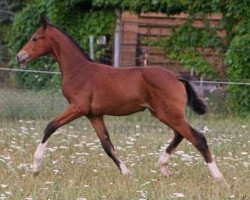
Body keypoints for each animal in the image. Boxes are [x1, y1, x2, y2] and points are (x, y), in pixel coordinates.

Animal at [17, 16, 225, 180]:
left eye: (35, 38)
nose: (20, 57)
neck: (79, 70)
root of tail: (176, 77)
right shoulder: (94, 115)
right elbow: (107, 145)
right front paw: (126, 173)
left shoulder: (78, 107)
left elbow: (50, 126)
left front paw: (35, 167)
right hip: (163, 114)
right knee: (180, 134)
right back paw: (164, 167)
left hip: (169, 114)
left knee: (198, 138)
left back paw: (217, 176)